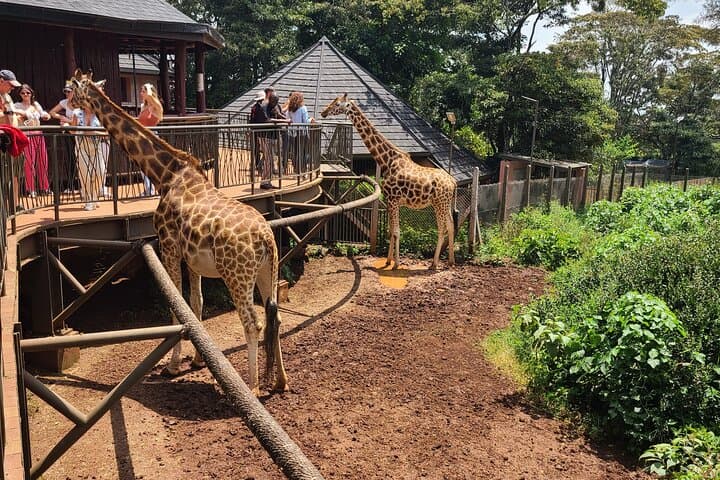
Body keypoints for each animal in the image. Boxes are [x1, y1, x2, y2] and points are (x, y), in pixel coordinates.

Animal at [69, 71, 288, 395]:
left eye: (71, 89)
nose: (65, 107)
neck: (166, 174)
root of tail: (265, 238)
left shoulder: (167, 246)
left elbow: (176, 308)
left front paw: (172, 367)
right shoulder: (192, 259)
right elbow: (196, 305)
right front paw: (196, 361)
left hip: (236, 275)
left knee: (253, 323)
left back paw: (253, 389)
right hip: (266, 272)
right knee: (276, 315)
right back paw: (281, 381)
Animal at [321, 94, 456, 270]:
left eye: (337, 104)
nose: (323, 112)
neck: (387, 160)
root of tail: (453, 182)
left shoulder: (393, 199)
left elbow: (396, 231)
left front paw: (396, 264)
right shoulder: (391, 200)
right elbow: (391, 230)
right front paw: (388, 260)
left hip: (439, 203)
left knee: (442, 229)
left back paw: (434, 264)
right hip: (445, 203)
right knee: (451, 226)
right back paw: (451, 261)